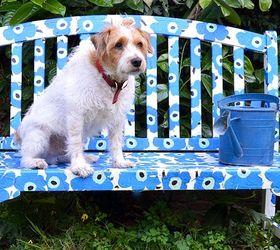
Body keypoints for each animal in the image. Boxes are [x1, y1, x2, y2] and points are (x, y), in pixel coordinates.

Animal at [14, 17, 152, 178]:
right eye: (118, 45)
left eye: (139, 44)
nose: (137, 61)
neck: (108, 78)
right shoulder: (76, 116)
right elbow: (75, 143)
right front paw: (79, 166)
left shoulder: (117, 118)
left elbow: (116, 142)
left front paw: (119, 162)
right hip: (38, 135)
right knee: (25, 158)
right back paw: (35, 162)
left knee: (63, 154)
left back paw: (86, 157)